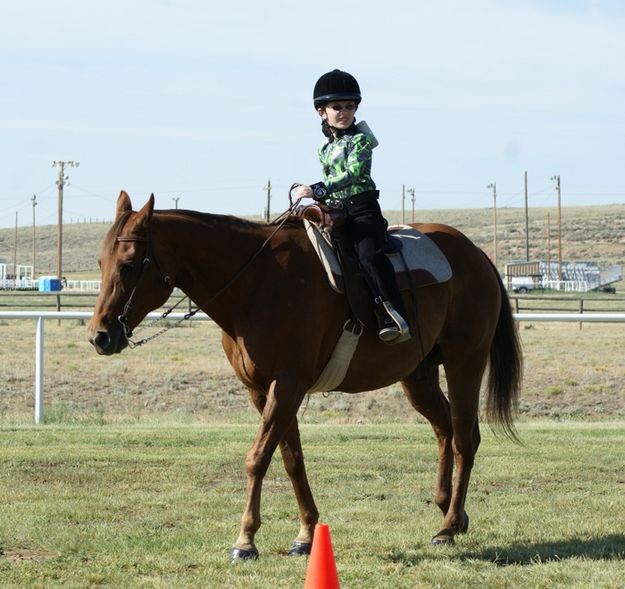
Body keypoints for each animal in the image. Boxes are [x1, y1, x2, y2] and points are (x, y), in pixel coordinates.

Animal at [88, 193, 520, 560]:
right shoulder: (263, 391)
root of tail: (477, 255)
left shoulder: (288, 384)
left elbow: (258, 457)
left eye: (129, 264)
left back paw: (447, 527)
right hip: (418, 376)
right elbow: (291, 458)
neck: (257, 283)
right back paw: (452, 513)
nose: (100, 336)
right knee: (445, 430)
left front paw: (245, 541)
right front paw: (306, 535)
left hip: (465, 362)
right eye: (100, 264)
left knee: (465, 438)